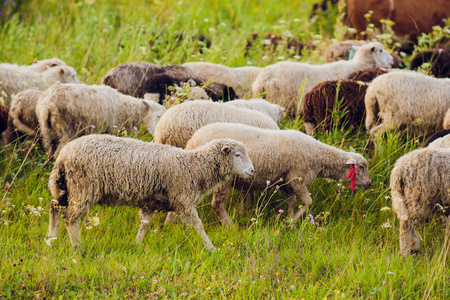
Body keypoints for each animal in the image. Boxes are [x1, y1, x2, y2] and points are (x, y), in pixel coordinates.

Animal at [34, 82, 165, 157]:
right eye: (158, 116)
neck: (127, 109)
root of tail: (46, 104)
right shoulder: (112, 130)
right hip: (67, 129)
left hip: (47, 131)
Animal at [46, 134, 255, 251]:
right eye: (238, 155)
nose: (252, 171)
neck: (194, 166)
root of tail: (63, 155)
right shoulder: (183, 200)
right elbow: (199, 225)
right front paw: (211, 247)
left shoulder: (151, 202)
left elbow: (144, 225)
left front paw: (137, 245)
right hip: (83, 188)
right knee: (70, 217)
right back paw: (78, 247)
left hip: (68, 186)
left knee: (54, 206)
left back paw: (51, 240)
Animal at [186, 123, 372, 226]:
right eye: (362, 166)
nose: (370, 184)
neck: (318, 156)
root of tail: (192, 141)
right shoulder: (297, 178)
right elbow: (308, 202)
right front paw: (292, 220)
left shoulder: (287, 183)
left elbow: (291, 202)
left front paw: (288, 218)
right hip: (223, 179)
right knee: (217, 205)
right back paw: (230, 226)